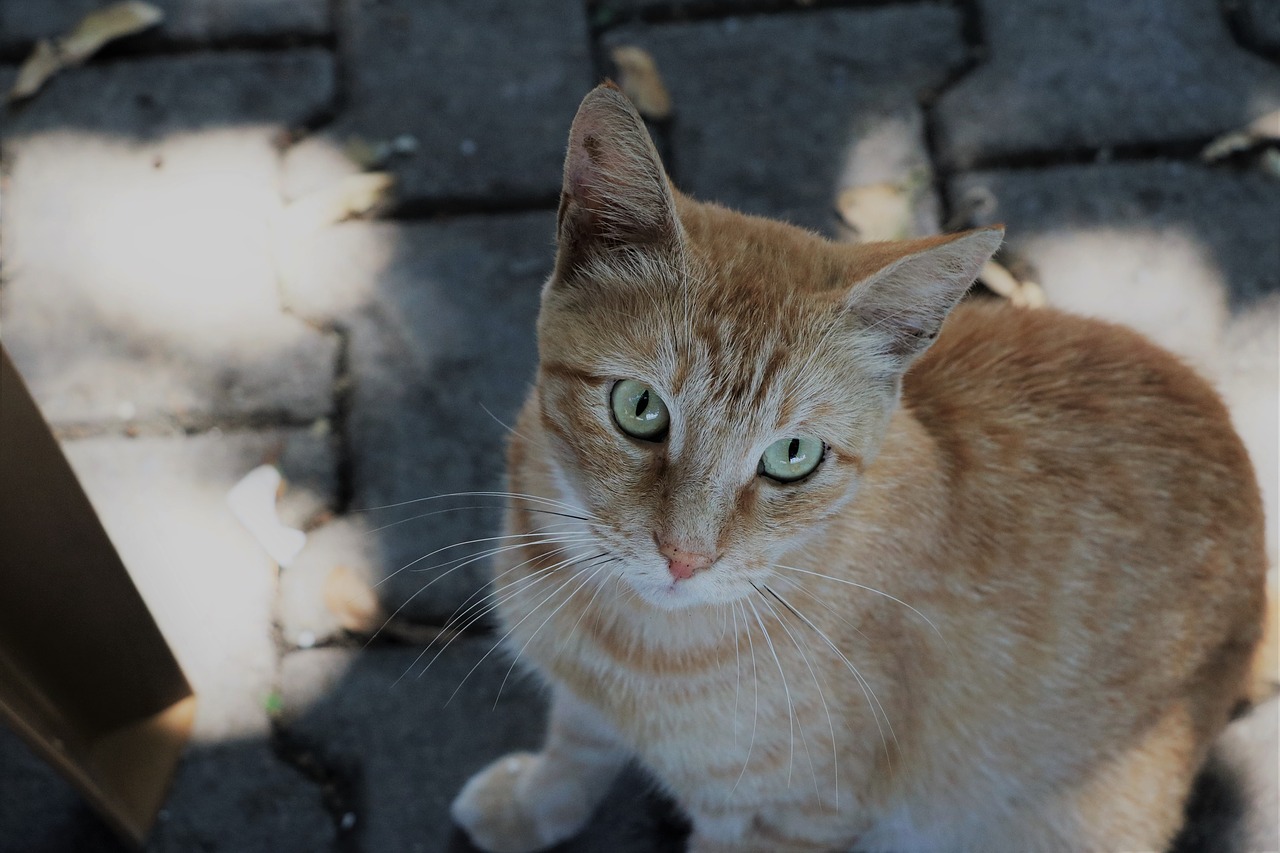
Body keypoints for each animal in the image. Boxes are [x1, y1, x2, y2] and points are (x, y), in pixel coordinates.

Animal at [445, 81, 1264, 850]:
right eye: (639, 407)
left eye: (792, 456)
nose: (685, 557)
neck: (619, 634)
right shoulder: (584, 697)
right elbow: (574, 744)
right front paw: (532, 805)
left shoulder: (794, 817)